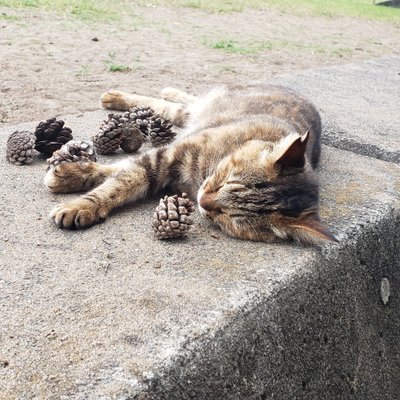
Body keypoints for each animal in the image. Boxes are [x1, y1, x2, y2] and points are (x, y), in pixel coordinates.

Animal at [44, 82, 338, 242]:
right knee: (171, 104)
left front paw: (72, 178)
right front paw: (79, 199)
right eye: (225, 181)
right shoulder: (164, 156)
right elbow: (117, 182)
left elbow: (118, 174)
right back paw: (123, 96)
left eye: (230, 217)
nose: (203, 201)